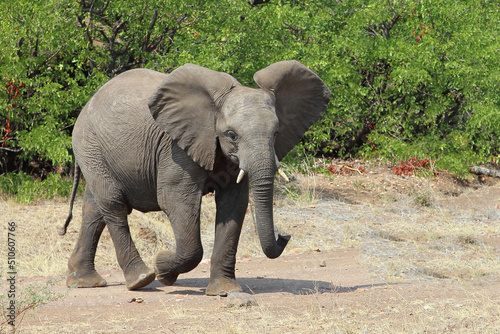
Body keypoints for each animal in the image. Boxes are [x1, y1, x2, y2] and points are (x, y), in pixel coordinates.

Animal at [58, 60, 330, 294]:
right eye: (231, 135)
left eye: (275, 133)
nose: (284, 235)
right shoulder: (176, 149)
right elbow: (177, 201)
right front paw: (163, 267)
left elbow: (233, 204)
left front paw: (224, 291)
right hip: (90, 144)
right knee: (113, 204)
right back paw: (141, 279)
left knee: (94, 209)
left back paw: (84, 282)